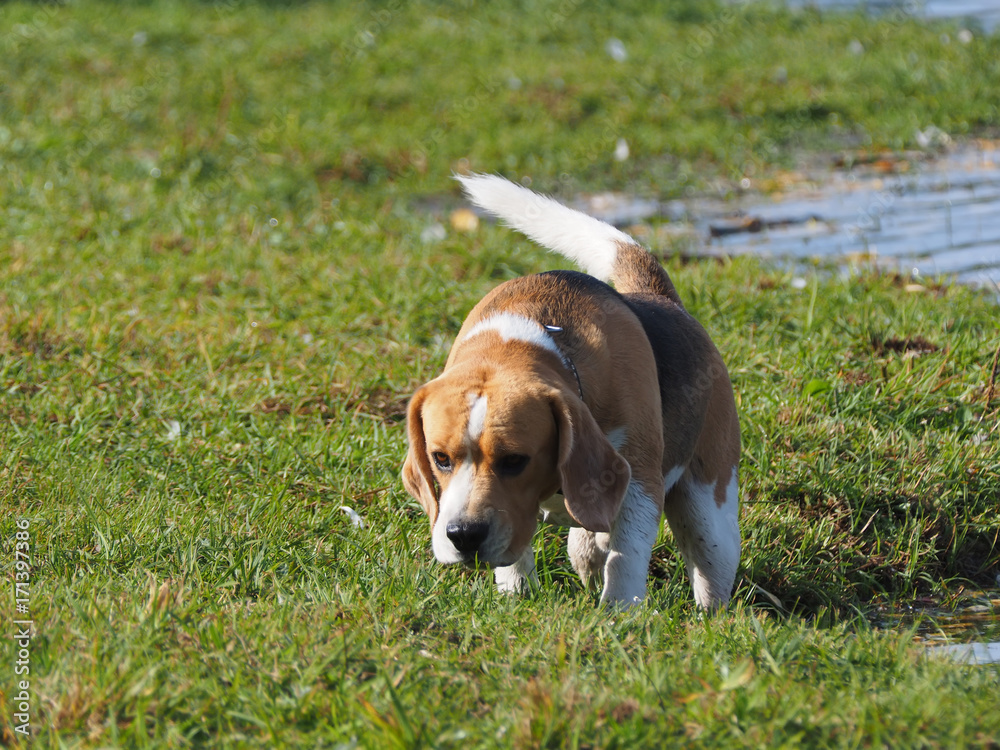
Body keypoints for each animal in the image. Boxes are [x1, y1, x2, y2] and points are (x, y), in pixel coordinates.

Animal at [402, 176, 740, 612]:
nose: (463, 535)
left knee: (708, 562)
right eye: (439, 459)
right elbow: (518, 559)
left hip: (708, 514)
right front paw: (516, 595)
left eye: (515, 461)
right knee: (586, 544)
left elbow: (627, 555)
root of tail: (659, 297)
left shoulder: (640, 481)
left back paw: (709, 614)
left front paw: (619, 611)